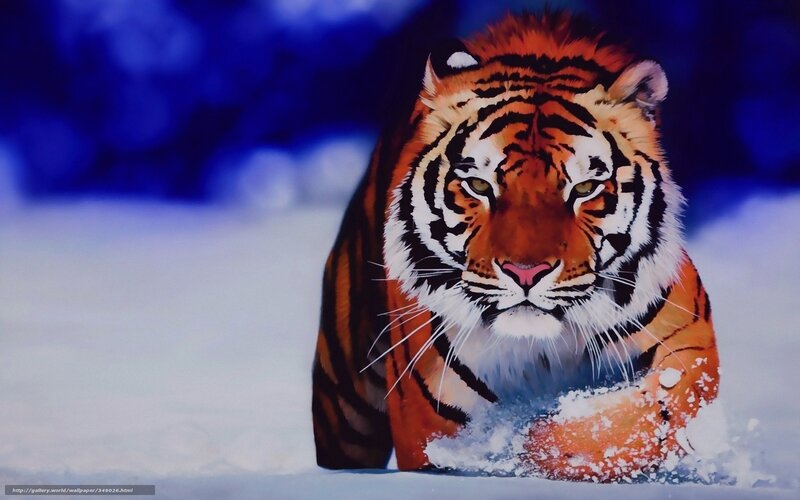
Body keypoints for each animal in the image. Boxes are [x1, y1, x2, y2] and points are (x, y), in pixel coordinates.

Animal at [311, 11, 719, 482]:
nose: (526, 273)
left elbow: (640, 418)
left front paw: (533, 444)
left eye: (584, 188)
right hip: (345, 402)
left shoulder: (689, 343)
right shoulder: (427, 415)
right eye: (478, 185)